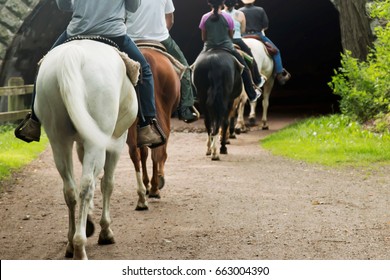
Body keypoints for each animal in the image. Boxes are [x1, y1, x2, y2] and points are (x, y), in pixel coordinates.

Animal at [34, 38, 139, 260]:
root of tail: (74, 53)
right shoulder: (116, 142)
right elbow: (108, 183)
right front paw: (105, 230)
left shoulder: (81, 143)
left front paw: (89, 221)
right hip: (97, 142)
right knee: (86, 186)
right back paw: (80, 246)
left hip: (59, 141)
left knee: (70, 190)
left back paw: (71, 242)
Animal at [125, 46, 181, 210]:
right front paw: (154, 183)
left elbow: (143, 152)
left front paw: (147, 184)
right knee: (158, 151)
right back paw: (155, 187)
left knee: (135, 152)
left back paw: (143, 195)